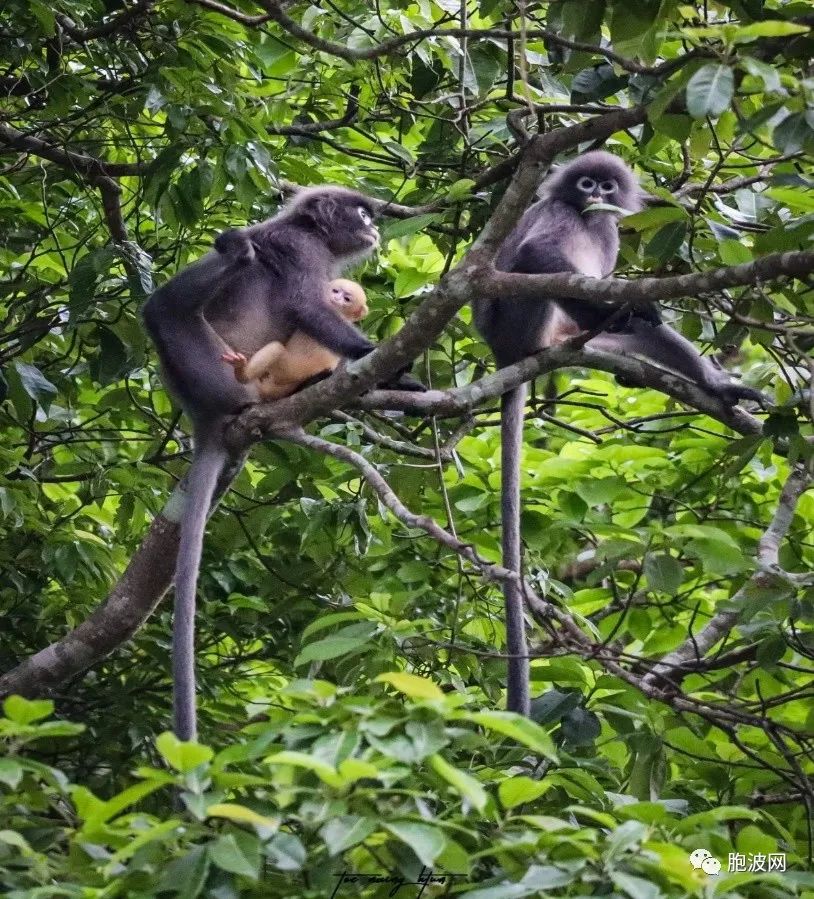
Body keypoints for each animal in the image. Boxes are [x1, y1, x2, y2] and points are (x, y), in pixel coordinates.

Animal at [220, 278, 366, 398]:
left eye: (347, 299)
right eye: (336, 291)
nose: (337, 298)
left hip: (286, 372)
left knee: (276, 347)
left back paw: (241, 373)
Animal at [472, 155, 764, 716]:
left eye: (607, 187)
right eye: (586, 183)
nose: (594, 195)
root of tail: (502, 355)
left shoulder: (604, 229)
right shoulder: (561, 215)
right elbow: (536, 253)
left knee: (640, 330)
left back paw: (711, 383)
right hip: (522, 324)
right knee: (540, 276)